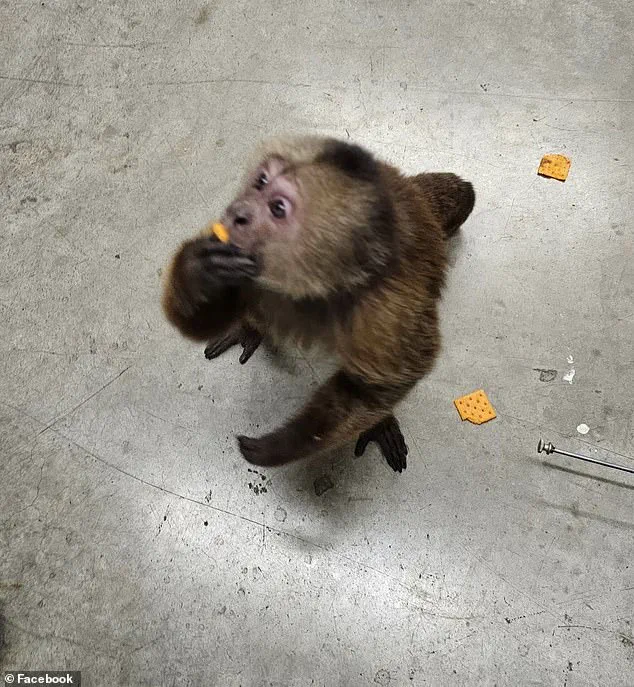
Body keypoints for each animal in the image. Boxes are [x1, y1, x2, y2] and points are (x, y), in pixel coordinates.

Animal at [161, 136, 474, 472]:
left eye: (278, 208)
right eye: (260, 182)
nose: (238, 213)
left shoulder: (387, 309)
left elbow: (386, 381)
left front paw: (286, 445)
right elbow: (202, 322)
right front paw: (199, 270)